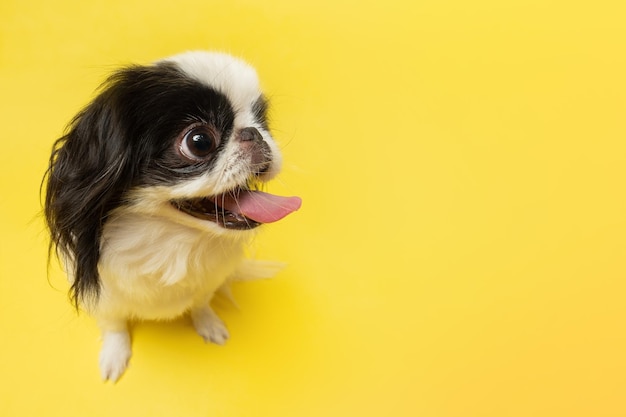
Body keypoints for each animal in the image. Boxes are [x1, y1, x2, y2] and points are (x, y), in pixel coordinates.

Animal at [43, 51, 300, 380]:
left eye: (262, 121)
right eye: (199, 141)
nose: (254, 133)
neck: (172, 240)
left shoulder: (208, 282)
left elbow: (201, 303)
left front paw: (208, 324)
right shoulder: (106, 297)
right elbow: (114, 325)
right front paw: (115, 355)